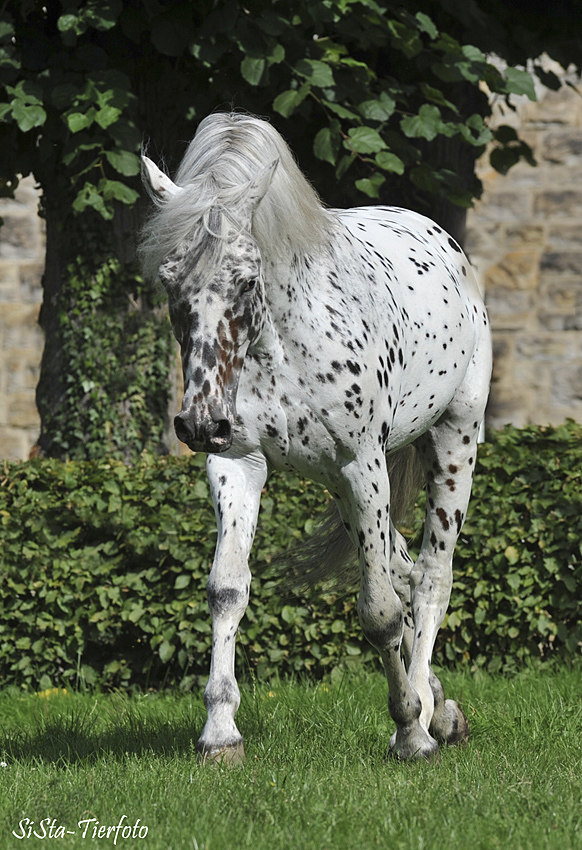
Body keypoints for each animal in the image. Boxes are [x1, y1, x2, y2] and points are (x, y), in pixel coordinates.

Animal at [140, 111, 492, 760]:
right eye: (169, 280)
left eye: (246, 280)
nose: (199, 422)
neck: (283, 346)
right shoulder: (238, 463)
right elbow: (227, 589)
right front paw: (220, 734)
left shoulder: (361, 464)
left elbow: (379, 612)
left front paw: (410, 730)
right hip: (344, 489)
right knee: (404, 568)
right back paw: (444, 707)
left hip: (453, 441)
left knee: (430, 577)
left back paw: (430, 714)